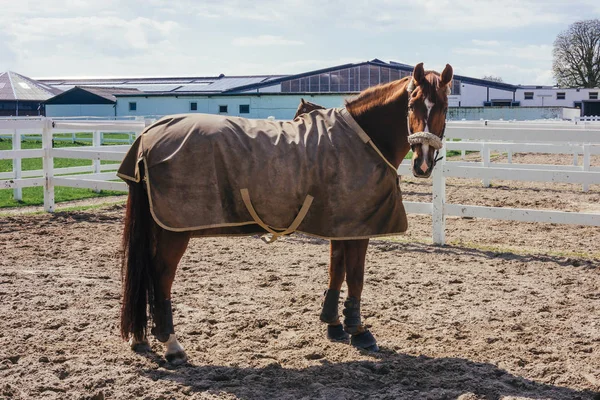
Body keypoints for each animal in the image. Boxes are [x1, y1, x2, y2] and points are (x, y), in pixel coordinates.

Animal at [119, 61, 452, 362]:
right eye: (412, 104)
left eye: (445, 107)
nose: (423, 163)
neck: (362, 137)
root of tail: (148, 135)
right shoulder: (359, 228)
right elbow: (355, 277)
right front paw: (359, 331)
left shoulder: (340, 224)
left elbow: (336, 270)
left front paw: (333, 324)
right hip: (173, 231)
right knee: (161, 276)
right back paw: (171, 344)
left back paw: (140, 338)